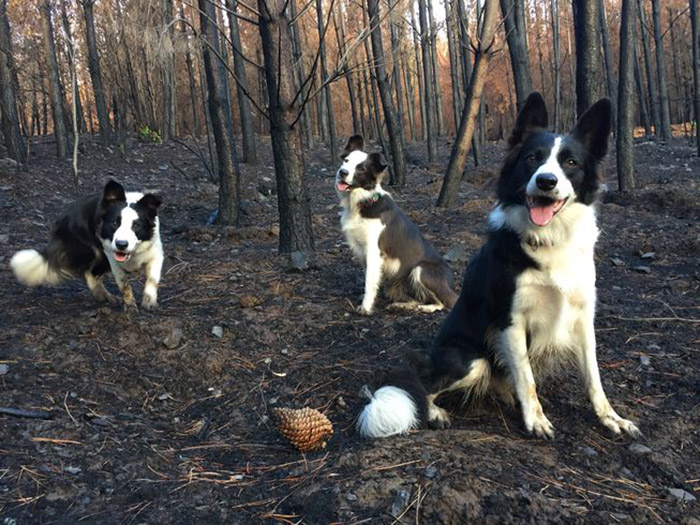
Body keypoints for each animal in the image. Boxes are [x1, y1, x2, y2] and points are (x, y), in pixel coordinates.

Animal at [10, 181, 164, 312]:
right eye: (114, 223)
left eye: (136, 225)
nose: (121, 244)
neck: (133, 252)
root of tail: (64, 219)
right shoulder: (112, 259)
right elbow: (124, 284)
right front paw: (130, 305)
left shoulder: (155, 255)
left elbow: (152, 279)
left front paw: (149, 301)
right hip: (94, 252)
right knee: (90, 273)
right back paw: (105, 295)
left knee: (92, 274)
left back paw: (104, 295)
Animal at [334, 136, 456, 316]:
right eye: (346, 161)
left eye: (361, 168)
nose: (342, 172)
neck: (364, 202)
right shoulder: (362, 251)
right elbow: (371, 279)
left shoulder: (374, 251)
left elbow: (369, 282)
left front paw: (366, 307)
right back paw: (403, 305)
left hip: (420, 269)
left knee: (446, 301)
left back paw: (427, 307)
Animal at [358, 94, 644, 438]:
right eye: (532, 158)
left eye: (571, 163)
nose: (546, 181)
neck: (548, 240)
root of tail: (430, 360)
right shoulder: (511, 320)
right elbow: (526, 378)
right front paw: (536, 420)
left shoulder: (582, 317)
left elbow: (594, 377)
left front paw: (610, 417)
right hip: (470, 359)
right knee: (424, 387)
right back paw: (436, 412)